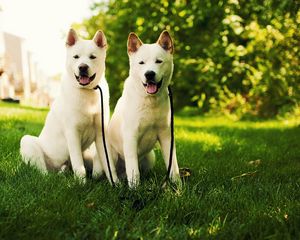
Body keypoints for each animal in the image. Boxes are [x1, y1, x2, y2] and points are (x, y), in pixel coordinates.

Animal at [19, 29, 118, 185]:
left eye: (92, 57)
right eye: (76, 57)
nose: (82, 67)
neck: (87, 92)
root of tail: (56, 169)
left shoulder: (101, 134)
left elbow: (109, 165)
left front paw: (117, 184)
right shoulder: (72, 133)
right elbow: (79, 166)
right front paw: (81, 185)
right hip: (28, 142)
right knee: (42, 172)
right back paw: (49, 178)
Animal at [109, 30, 182, 188]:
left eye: (159, 61)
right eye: (141, 63)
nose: (149, 74)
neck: (150, 101)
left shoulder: (166, 135)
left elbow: (173, 165)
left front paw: (178, 185)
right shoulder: (130, 136)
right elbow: (133, 169)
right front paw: (135, 189)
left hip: (150, 157)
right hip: (109, 157)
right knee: (112, 172)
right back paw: (117, 184)